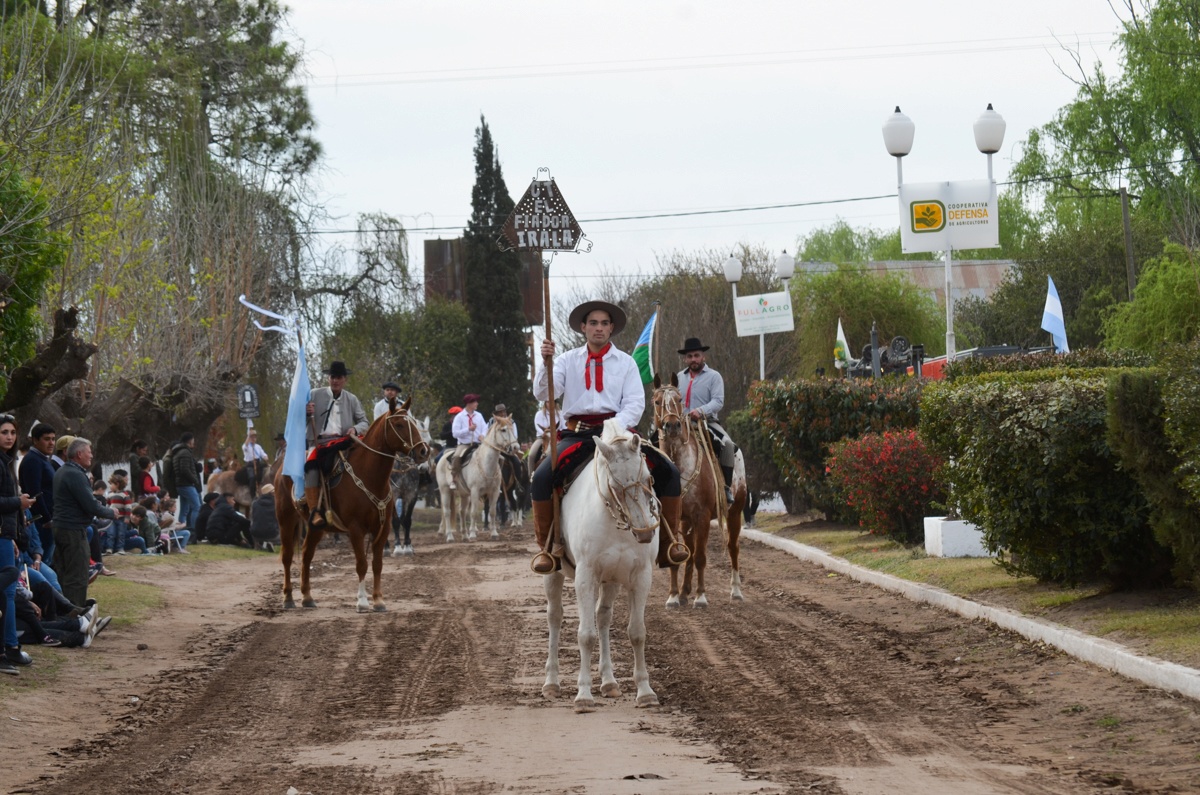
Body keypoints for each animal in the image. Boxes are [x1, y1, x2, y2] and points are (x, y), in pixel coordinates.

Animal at [273, 401, 432, 612]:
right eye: (398, 424)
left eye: (413, 423)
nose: (423, 452)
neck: (370, 475)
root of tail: (281, 468)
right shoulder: (356, 529)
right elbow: (361, 564)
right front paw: (362, 601)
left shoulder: (382, 528)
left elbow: (377, 564)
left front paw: (378, 600)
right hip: (286, 519)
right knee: (288, 556)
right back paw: (288, 598)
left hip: (317, 527)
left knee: (307, 554)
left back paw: (307, 597)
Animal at [542, 420, 662, 710]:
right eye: (615, 486)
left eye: (648, 479)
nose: (644, 533)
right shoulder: (585, 576)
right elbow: (586, 635)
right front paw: (584, 695)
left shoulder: (641, 576)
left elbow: (637, 632)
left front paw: (645, 691)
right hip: (553, 572)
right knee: (555, 616)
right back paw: (551, 683)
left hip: (611, 579)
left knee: (603, 616)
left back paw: (609, 682)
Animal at [652, 379, 744, 610]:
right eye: (657, 401)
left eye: (678, 399)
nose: (672, 426)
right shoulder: (675, 519)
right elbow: (678, 555)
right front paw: (674, 596)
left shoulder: (702, 516)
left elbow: (701, 556)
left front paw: (701, 597)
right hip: (687, 521)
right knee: (690, 553)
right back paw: (685, 592)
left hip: (735, 512)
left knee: (732, 547)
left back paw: (736, 591)